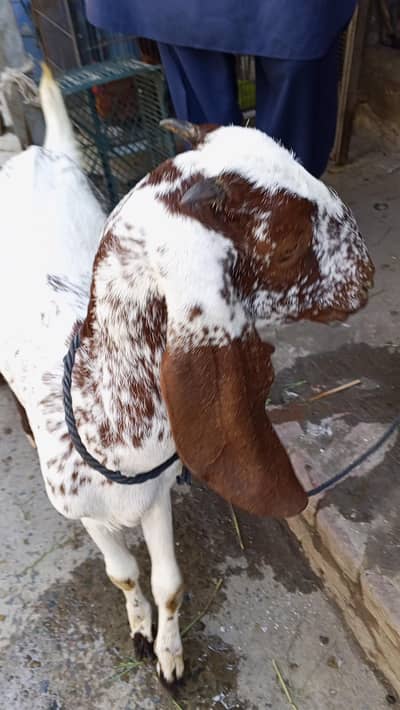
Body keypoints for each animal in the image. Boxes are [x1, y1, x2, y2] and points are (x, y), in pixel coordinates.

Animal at [0, 68, 374, 684]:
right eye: (288, 245)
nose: (366, 276)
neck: (101, 417)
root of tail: (34, 150)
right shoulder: (90, 518)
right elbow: (124, 574)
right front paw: (140, 633)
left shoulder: (153, 500)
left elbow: (168, 583)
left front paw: (170, 656)